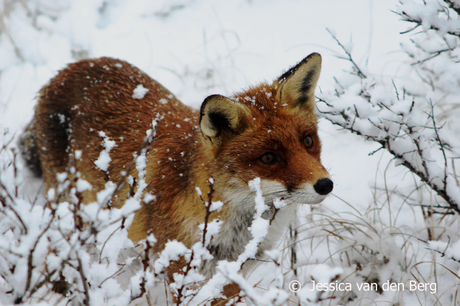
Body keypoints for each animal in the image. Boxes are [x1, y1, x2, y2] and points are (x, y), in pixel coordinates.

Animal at [19, 52, 332, 302]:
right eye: (268, 158)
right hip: (68, 206)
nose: (325, 185)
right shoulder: (183, 273)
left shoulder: (232, 277)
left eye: (308, 141)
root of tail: (70, 67)